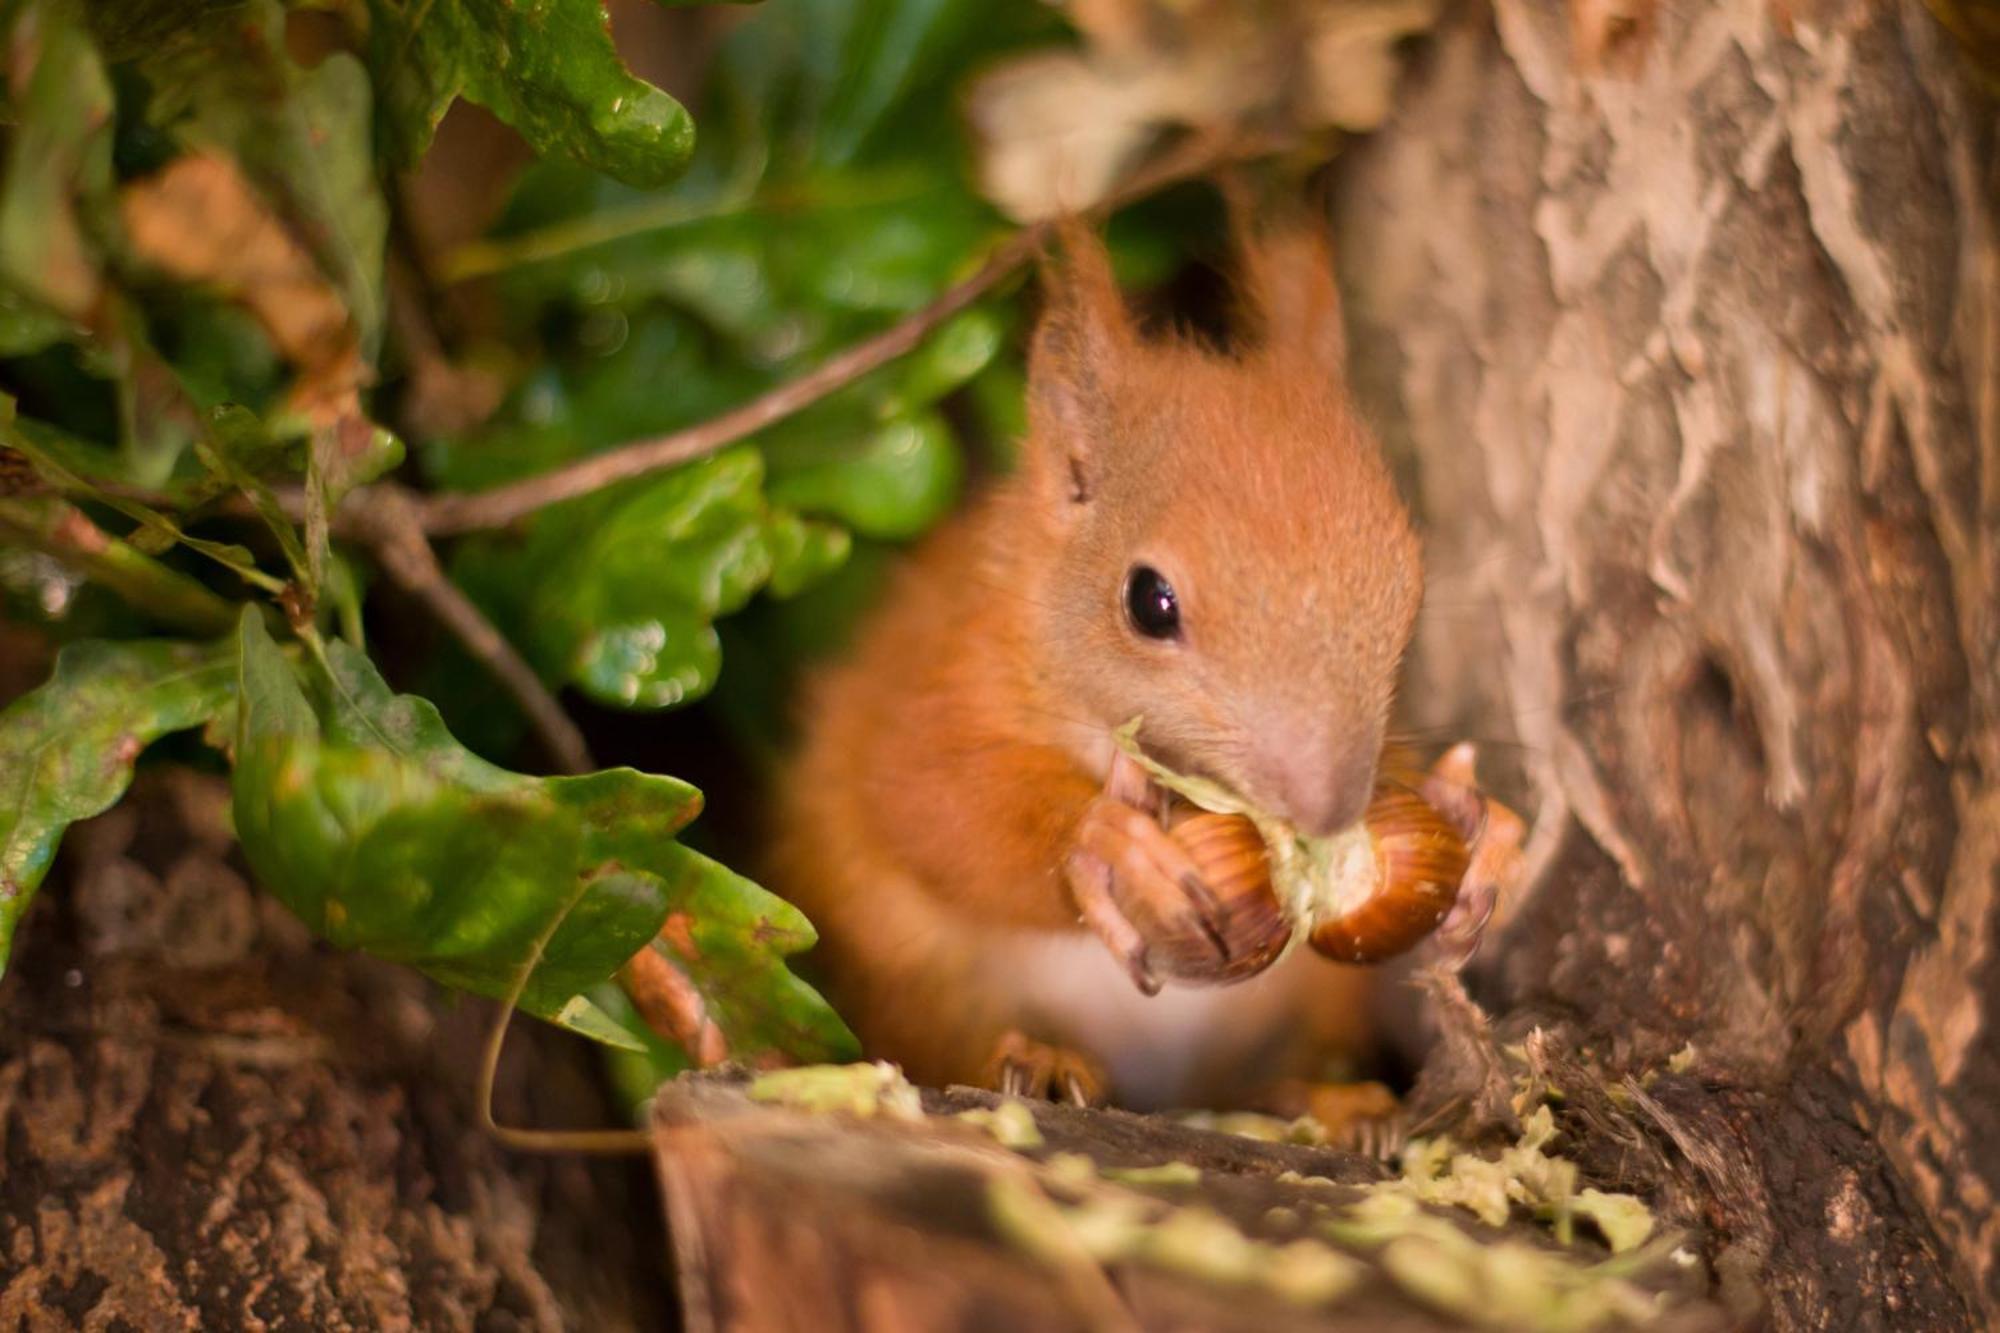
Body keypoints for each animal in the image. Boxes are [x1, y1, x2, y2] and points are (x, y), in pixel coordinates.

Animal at [768, 208, 1512, 1120]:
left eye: (1409, 588)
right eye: (1149, 601)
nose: (1331, 809)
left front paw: (1475, 832)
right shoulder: (934, 678)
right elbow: (925, 798)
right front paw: (1105, 844)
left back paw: (1330, 1101)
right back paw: (1042, 1057)